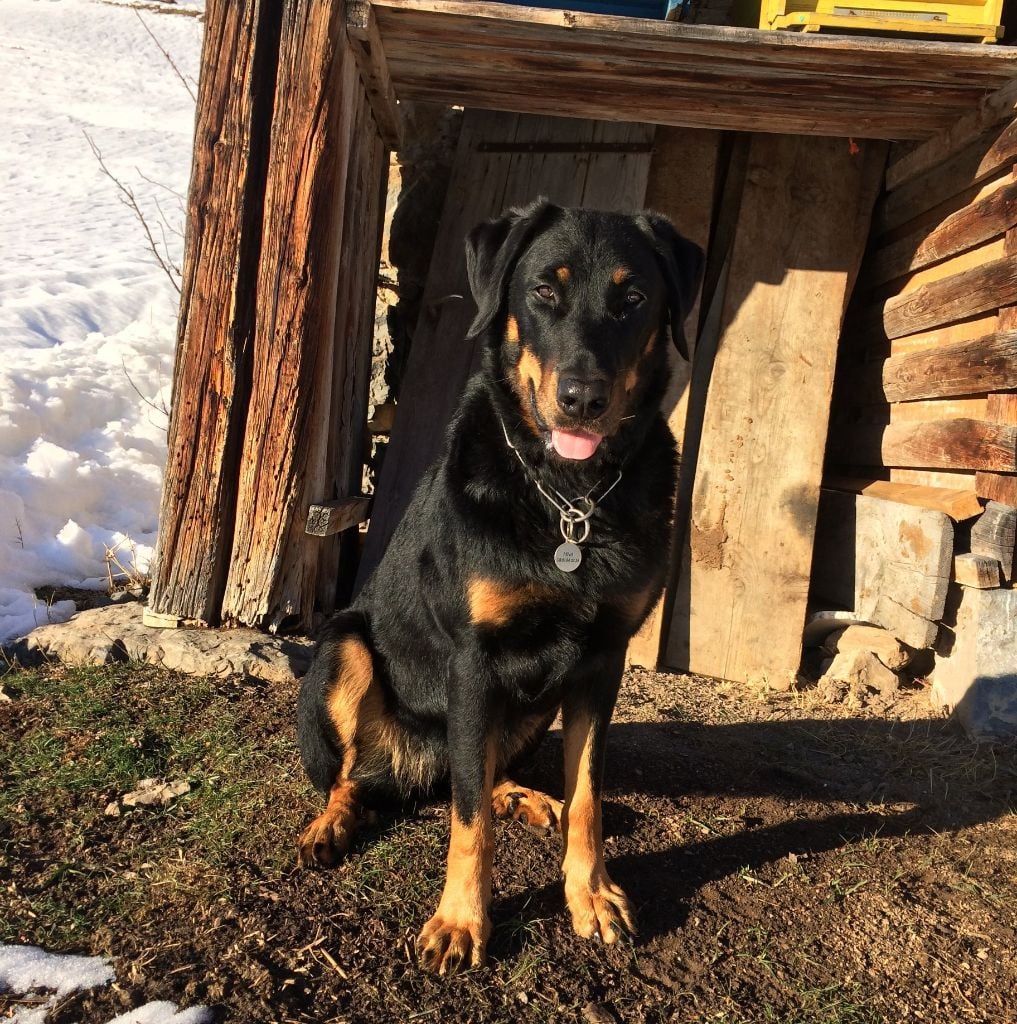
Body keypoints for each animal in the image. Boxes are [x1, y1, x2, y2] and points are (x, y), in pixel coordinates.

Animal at [296, 197, 703, 974]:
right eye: (543, 290)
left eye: (634, 298)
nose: (581, 398)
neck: (570, 498)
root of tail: (413, 770)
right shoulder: (473, 661)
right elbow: (468, 819)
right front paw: (461, 920)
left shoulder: (601, 660)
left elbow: (586, 791)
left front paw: (591, 894)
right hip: (343, 648)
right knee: (357, 777)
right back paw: (331, 823)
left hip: (533, 703)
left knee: (481, 772)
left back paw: (525, 795)